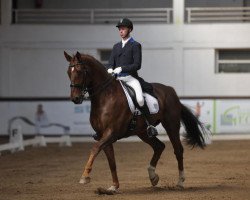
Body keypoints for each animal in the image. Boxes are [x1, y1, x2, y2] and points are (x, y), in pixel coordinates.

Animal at [64, 51, 207, 192]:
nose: (75, 98)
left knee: (178, 150)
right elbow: (111, 161)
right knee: (159, 146)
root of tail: (170, 90)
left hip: (171, 125)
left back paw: (180, 182)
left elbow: (94, 149)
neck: (105, 97)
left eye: (79, 71)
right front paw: (114, 186)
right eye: (68, 72)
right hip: (143, 132)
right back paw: (153, 176)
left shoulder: (111, 133)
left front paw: (85, 177)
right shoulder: (102, 135)